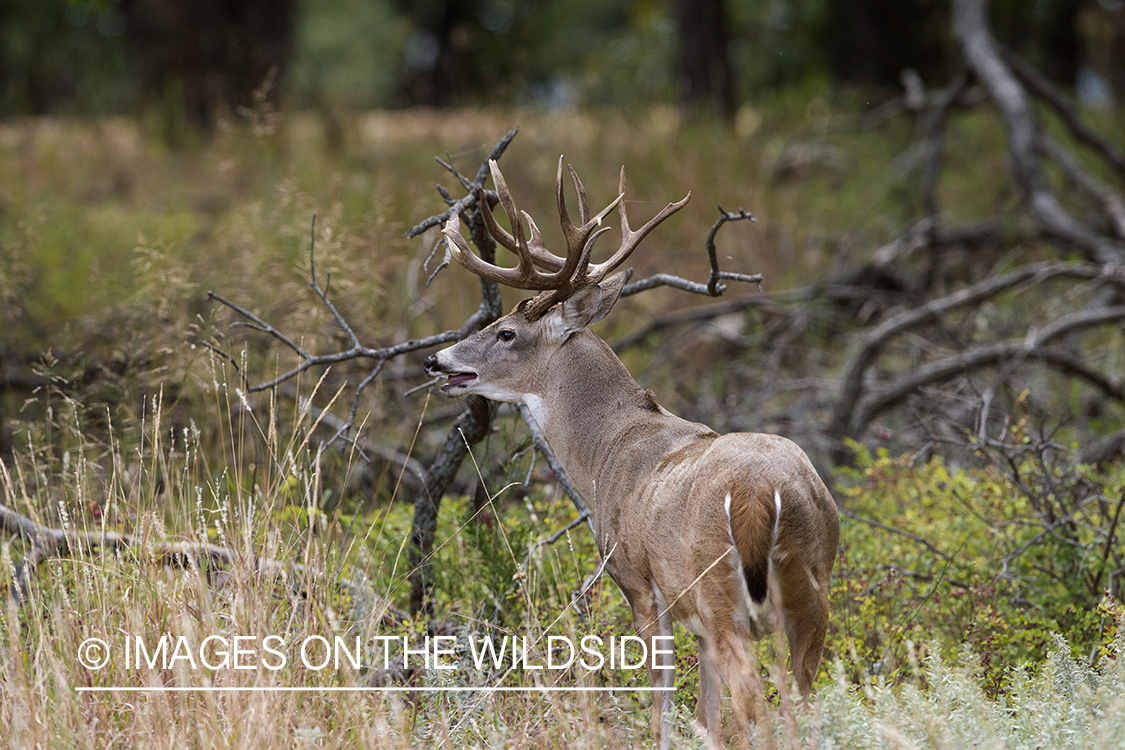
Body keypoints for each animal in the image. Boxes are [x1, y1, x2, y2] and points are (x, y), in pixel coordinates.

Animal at [425, 155, 841, 746]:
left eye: (506, 333)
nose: (435, 361)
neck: (608, 449)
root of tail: (763, 494)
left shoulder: (635, 578)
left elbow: (663, 700)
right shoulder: (693, 618)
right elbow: (706, 717)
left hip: (720, 590)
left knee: (755, 705)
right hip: (813, 586)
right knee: (802, 706)